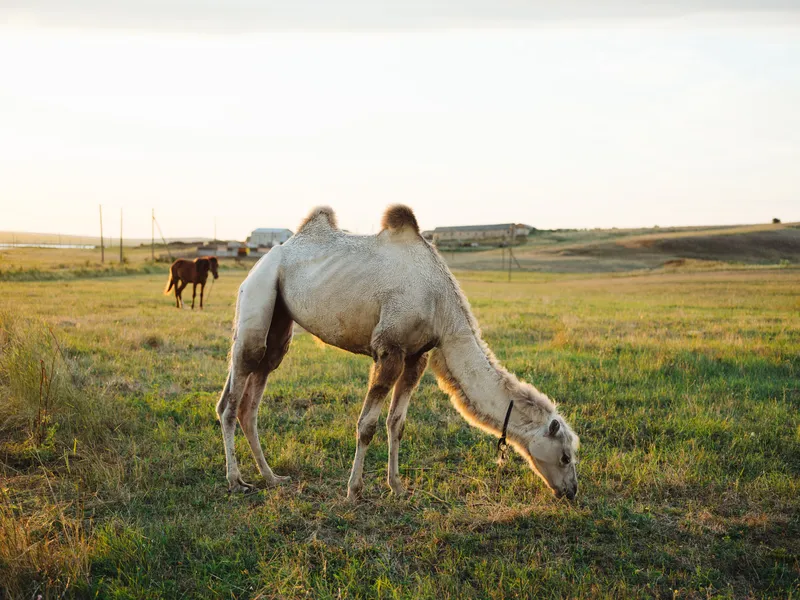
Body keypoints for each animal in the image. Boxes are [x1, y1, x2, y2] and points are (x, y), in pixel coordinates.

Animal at [216, 205, 579, 501]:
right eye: (565, 456)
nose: (572, 491)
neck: (441, 308)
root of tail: (267, 256)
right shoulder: (388, 349)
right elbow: (367, 425)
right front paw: (354, 490)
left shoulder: (417, 355)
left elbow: (397, 423)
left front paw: (397, 486)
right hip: (259, 293)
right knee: (233, 398)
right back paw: (236, 481)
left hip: (280, 323)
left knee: (255, 390)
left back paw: (271, 477)